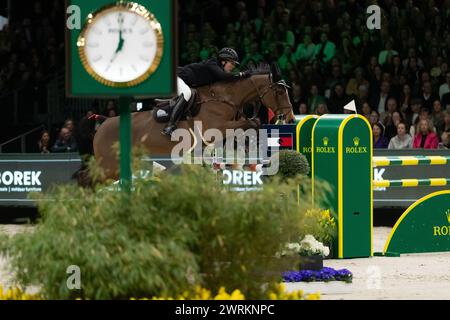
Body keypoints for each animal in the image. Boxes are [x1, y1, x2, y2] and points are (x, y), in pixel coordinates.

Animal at [93, 65, 294, 180]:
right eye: (279, 92)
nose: (291, 118)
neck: (225, 98)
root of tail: (103, 124)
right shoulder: (216, 128)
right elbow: (253, 123)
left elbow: (251, 125)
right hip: (109, 168)